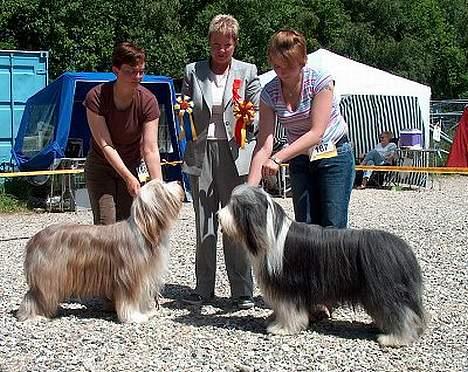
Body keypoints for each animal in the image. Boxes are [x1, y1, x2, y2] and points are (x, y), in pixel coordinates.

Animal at [15, 179, 183, 322]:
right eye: (162, 187)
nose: (179, 182)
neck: (145, 231)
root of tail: (34, 238)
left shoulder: (144, 277)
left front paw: (145, 312)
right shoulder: (130, 277)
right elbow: (130, 300)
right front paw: (134, 317)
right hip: (49, 275)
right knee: (35, 296)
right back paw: (34, 315)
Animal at [218, 185, 426, 348]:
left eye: (234, 206)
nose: (218, 216)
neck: (270, 233)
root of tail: (402, 248)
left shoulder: (288, 286)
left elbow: (289, 309)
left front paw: (282, 328)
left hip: (384, 290)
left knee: (400, 312)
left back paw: (394, 338)